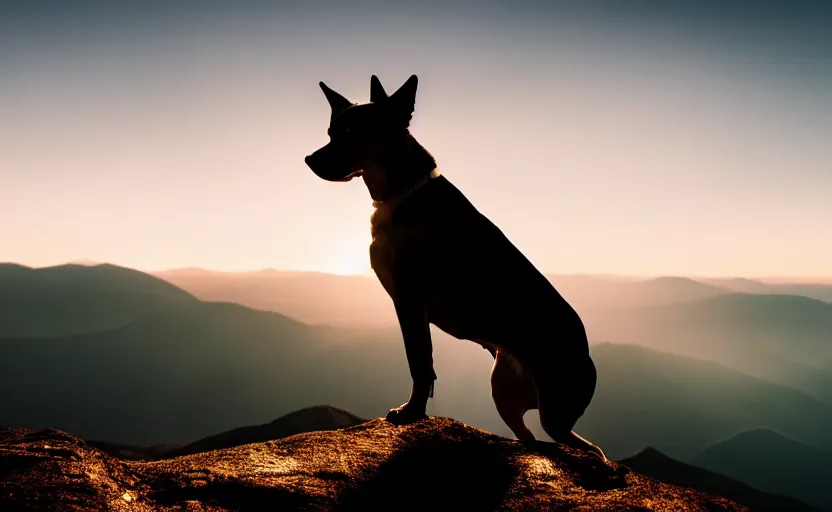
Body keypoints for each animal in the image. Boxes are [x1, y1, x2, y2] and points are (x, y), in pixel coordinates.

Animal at [306, 73, 604, 460]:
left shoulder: (410, 302)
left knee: (586, 447)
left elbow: (420, 364)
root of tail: (587, 356)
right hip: (504, 391)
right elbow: (424, 365)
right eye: (331, 131)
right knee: (531, 438)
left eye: (353, 132)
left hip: (553, 408)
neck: (403, 192)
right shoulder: (410, 306)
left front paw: (411, 412)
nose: (309, 159)